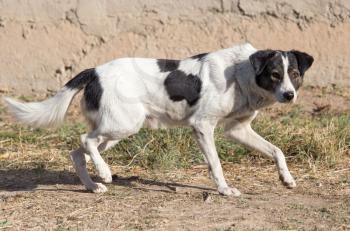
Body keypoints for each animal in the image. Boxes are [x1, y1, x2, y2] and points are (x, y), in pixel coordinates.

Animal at [4, 42, 314, 195]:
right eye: (274, 74)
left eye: (294, 74)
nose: (289, 95)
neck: (242, 73)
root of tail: (94, 70)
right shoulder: (202, 126)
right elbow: (215, 164)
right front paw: (225, 190)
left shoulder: (237, 129)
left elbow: (277, 151)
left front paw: (286, 179)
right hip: (122, 125)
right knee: (85, 140)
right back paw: (104, 173)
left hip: (115, 131)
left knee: (78, 152)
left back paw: (93, 186)